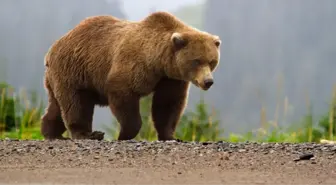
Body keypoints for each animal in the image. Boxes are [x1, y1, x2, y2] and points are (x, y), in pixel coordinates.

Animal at [40, 11, 222, 140]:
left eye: (212, 61)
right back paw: (87, 134)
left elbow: (168, 104)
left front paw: (171, 136)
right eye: (196, 61)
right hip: (74, 70)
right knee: (76, 103)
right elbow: (123, 94)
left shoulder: (170, 78)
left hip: (60, 77)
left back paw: (51, 132)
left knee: (57, 105)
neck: (159, 62)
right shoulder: (134, 65)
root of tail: (52, 49)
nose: (208, 81)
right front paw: (124, 134)